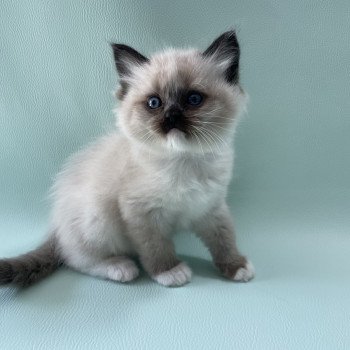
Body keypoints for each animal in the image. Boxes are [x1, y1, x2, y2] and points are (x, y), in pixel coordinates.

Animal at [0, 30, 253, 288]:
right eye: (154, 103)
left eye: (193, 99)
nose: (171, 116)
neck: (183, 160)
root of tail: (56, 225)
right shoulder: (142, 213)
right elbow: (156, 247)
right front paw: (169, 271)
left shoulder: (211, 207)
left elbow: (224, 239)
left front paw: (237, 266)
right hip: (98, 219)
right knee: (76, 259)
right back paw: (120, 267)